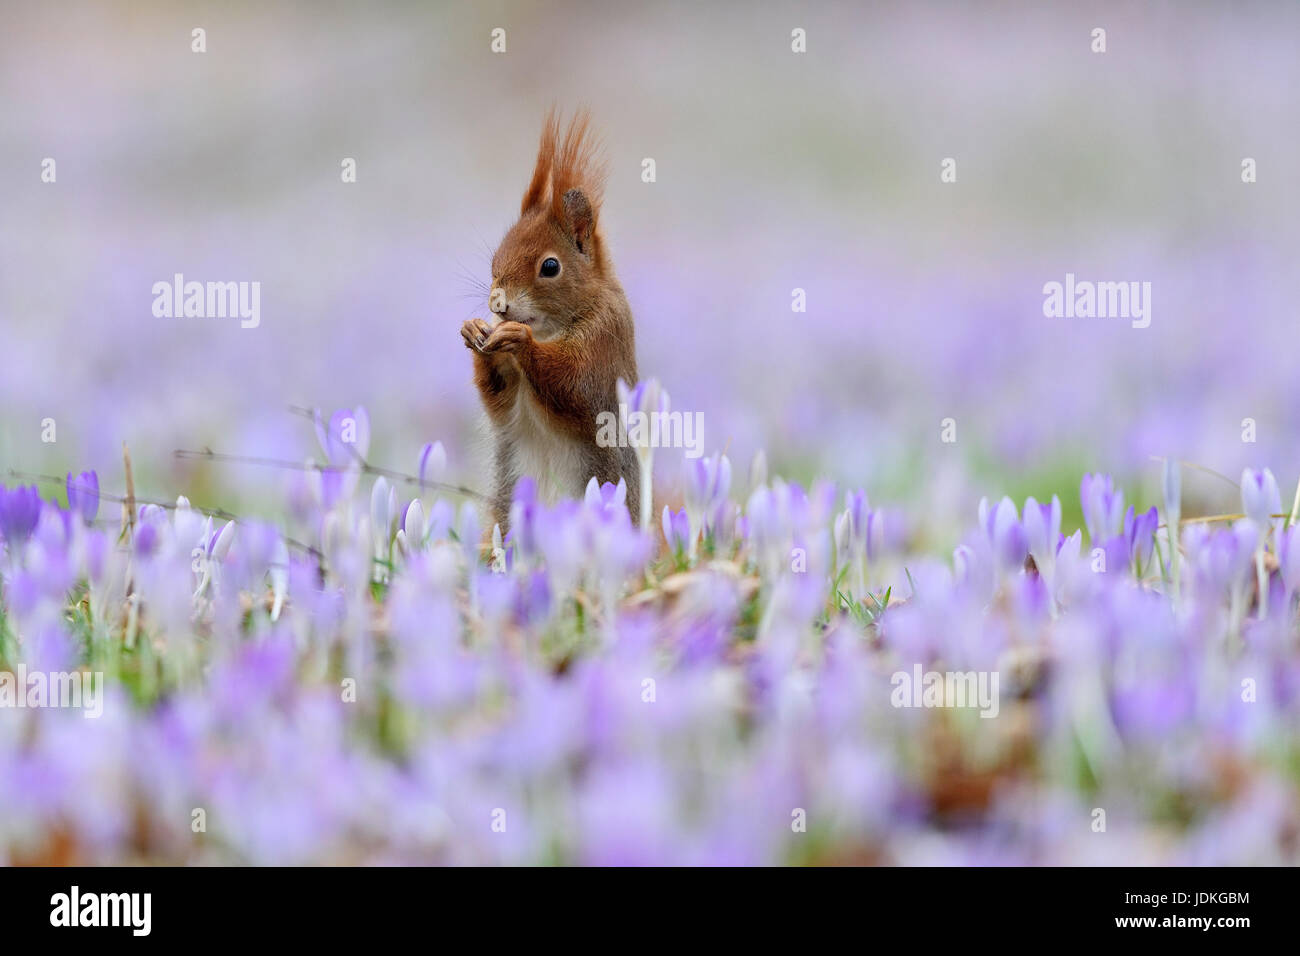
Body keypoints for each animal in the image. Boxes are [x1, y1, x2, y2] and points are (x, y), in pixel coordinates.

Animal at [461, 110, 640, 532]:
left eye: (550, 266)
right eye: (497, 256)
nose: (497, 303)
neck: (547, 329)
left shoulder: (605, 341)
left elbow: (573, 385)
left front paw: (519, 340)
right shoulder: (507, 401)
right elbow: (499, 399)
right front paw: (475, 331)